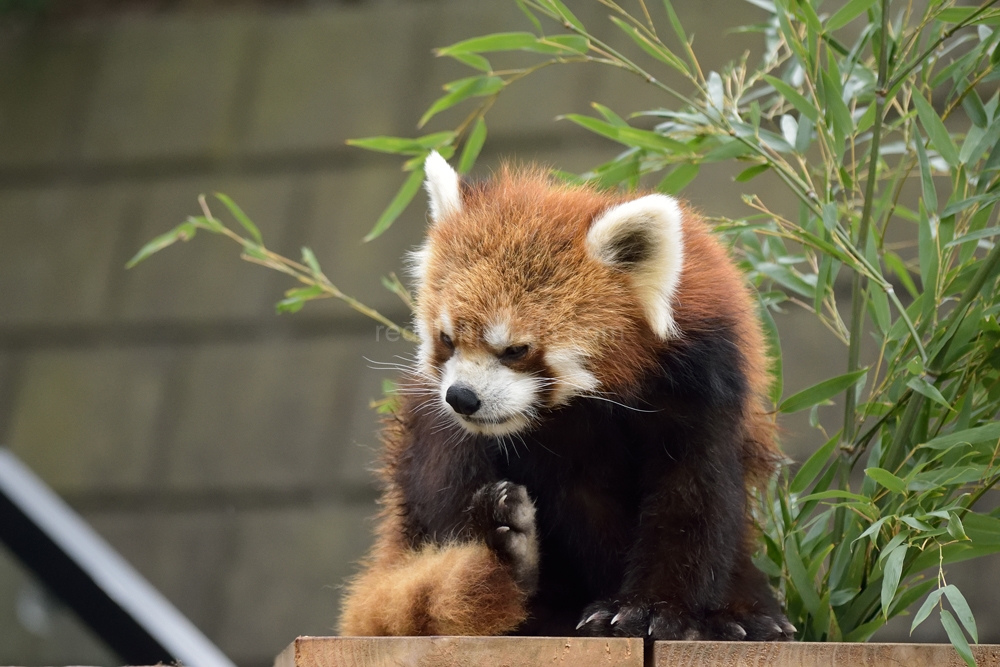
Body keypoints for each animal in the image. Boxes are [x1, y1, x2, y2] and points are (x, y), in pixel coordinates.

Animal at [340, 150, 792, 640]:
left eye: (516, 350)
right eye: (447, 339)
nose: (462, 398)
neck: (604, 397)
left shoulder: (704, 382)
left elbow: (695, 498)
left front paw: (654, 609)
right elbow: (584, 511)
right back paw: (515, 566)